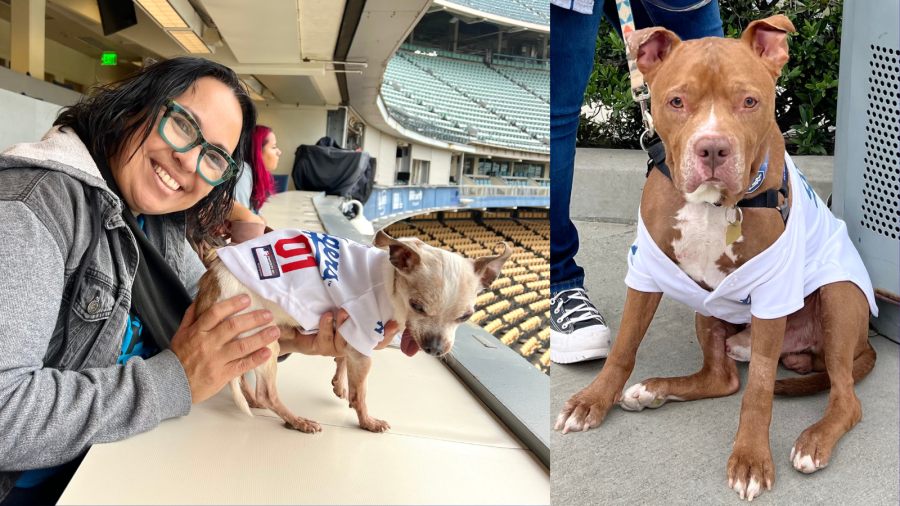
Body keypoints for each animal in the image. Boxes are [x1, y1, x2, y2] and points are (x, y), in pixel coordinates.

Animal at [556, 14, 880, 502]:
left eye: (749, 101)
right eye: (676, 101)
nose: (712, 148)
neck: (713, 204)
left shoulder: (773, 292)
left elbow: (759, 389)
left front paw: (750, 459)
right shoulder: (646, 270)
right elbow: (624, 347)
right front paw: (593, 401)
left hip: (839, 299)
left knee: (846, 398)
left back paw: (813, 441)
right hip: (706, 304)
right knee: (722, 378)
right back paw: (654, 390)